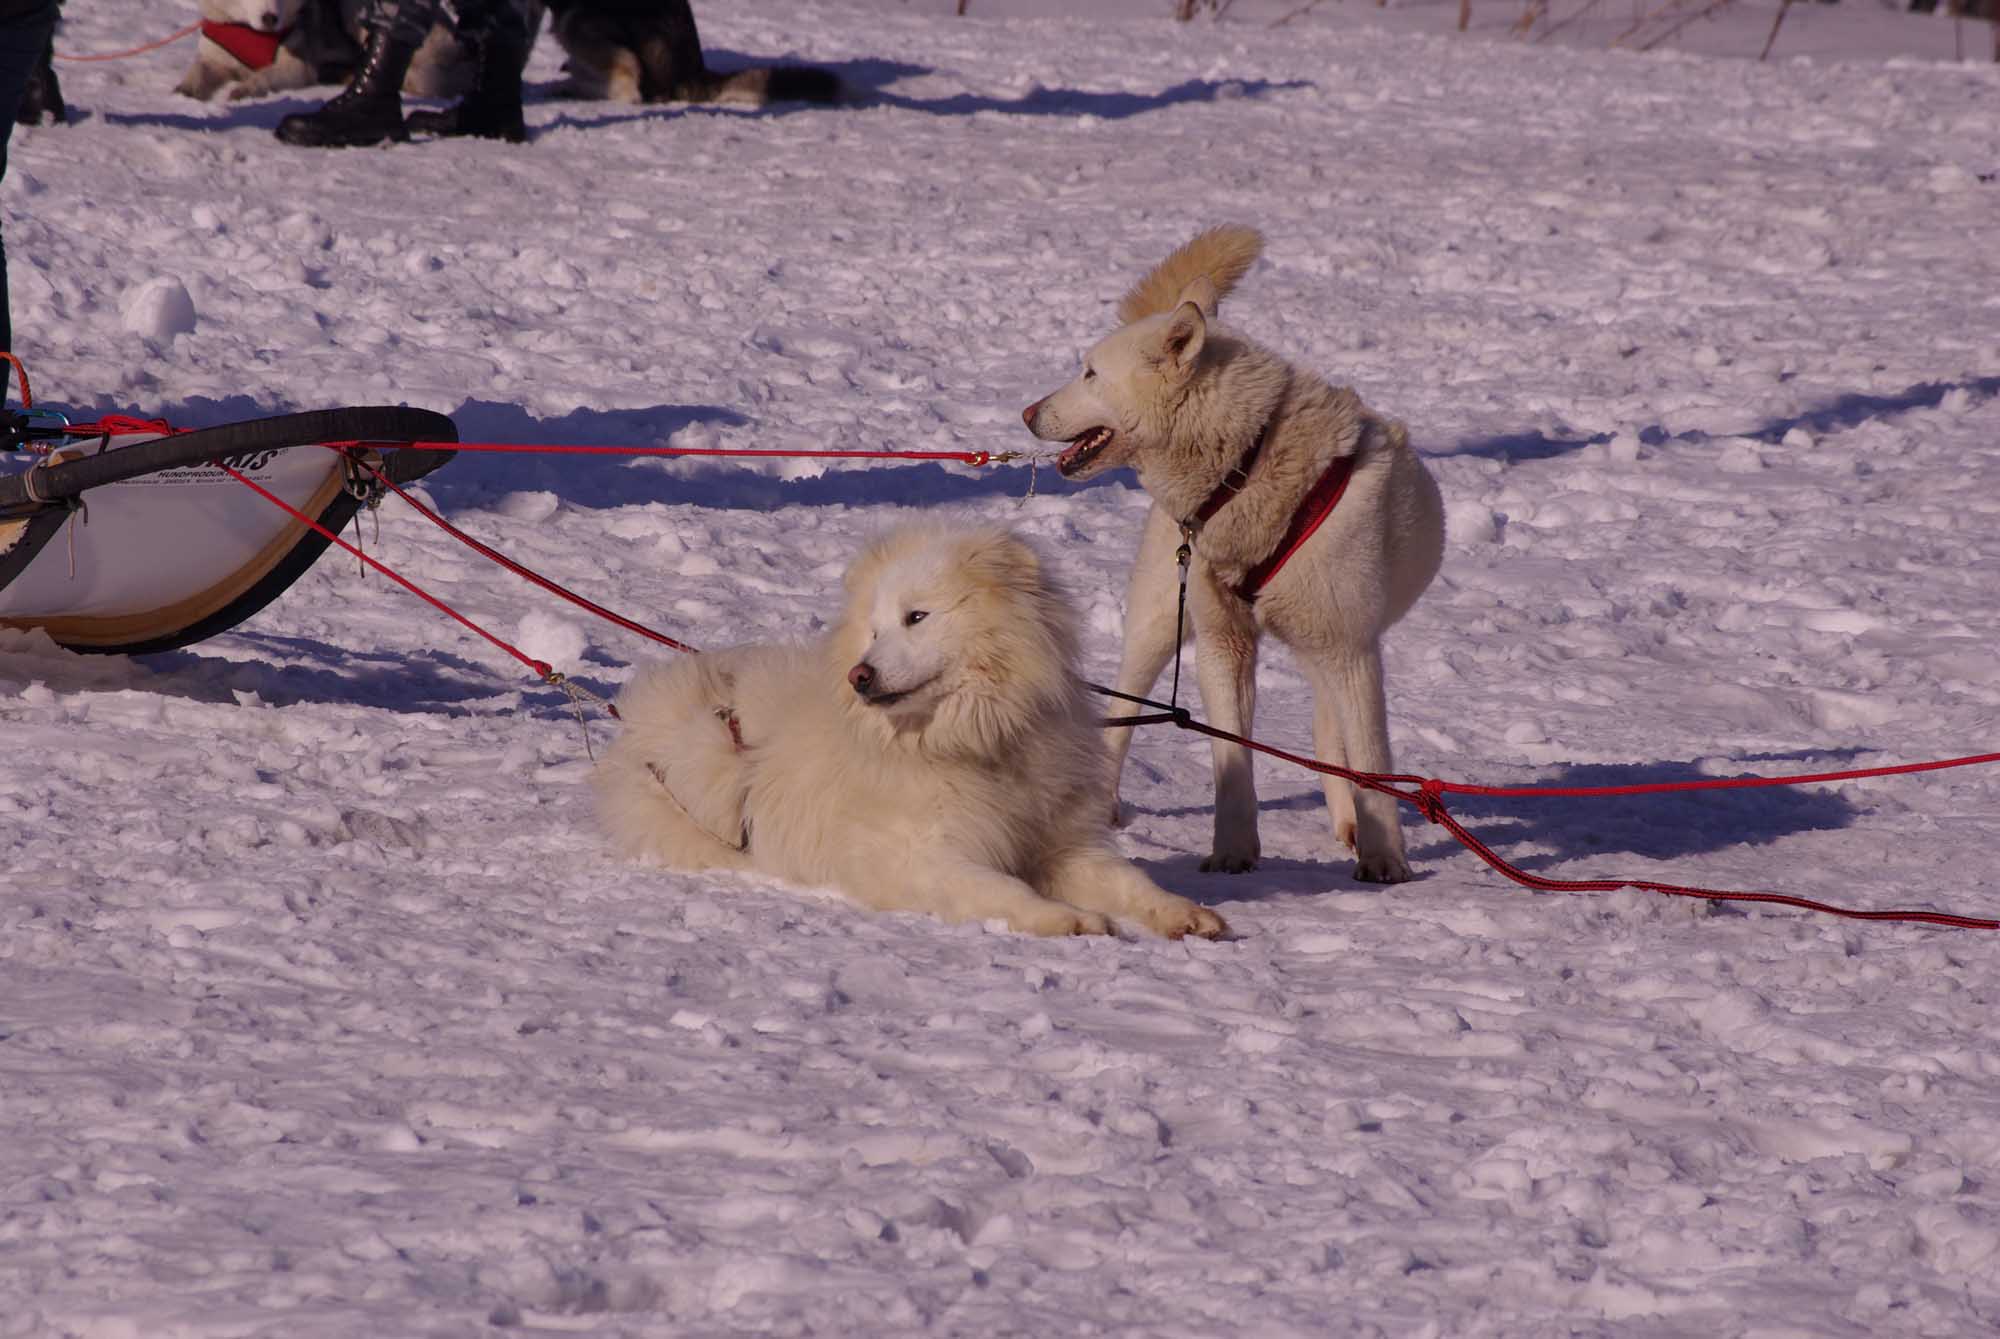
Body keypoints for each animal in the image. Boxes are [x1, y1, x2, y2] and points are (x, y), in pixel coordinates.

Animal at [592, 523, 1224, 943]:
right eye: (873, 631)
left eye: (916, 617)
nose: (860, 675)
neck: (973, 741)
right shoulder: (927, 856)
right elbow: (1003, 890)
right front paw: (1066, 919)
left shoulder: (1062, 843)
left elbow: (1130, 882)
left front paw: (1186, 914)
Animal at [1024, 225, 1448, 887]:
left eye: (1090, 373)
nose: (1027, 412)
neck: (1246, 466)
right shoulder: (1224, 642)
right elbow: (1231, 753)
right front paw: (1233, 851)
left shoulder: (1348, 646)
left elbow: (1367, 756)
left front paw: (1383, 855)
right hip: (1158, 621)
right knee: (1121, 705)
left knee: (1329, 729)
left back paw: (1347, 820)